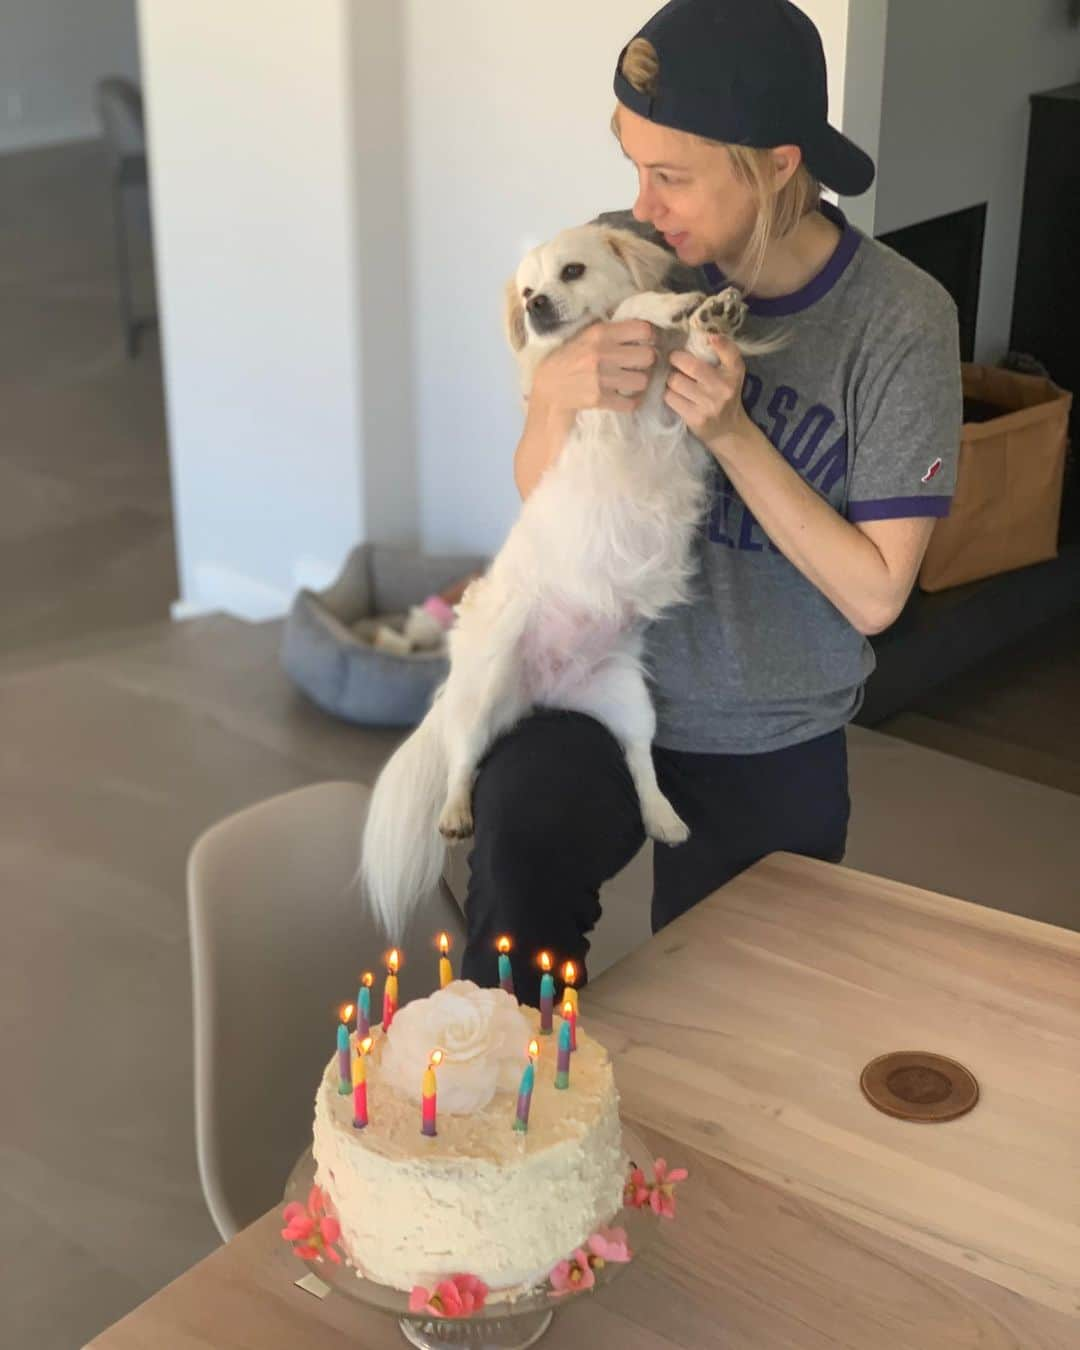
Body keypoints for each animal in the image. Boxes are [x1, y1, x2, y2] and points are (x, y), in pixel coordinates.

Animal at [367, 224, 772, 939]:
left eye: (572, 272)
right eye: (527, 289)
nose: (535, 306)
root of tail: (544, 690)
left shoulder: (681, 417)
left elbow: (683, 351)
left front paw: (706, 319)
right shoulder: (602, 410)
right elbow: (635, 311)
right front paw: (670, 308)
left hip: (631, 704)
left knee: (640, 764)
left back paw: (664, 818)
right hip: (480, 694)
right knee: (462, 761)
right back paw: (454, 813)